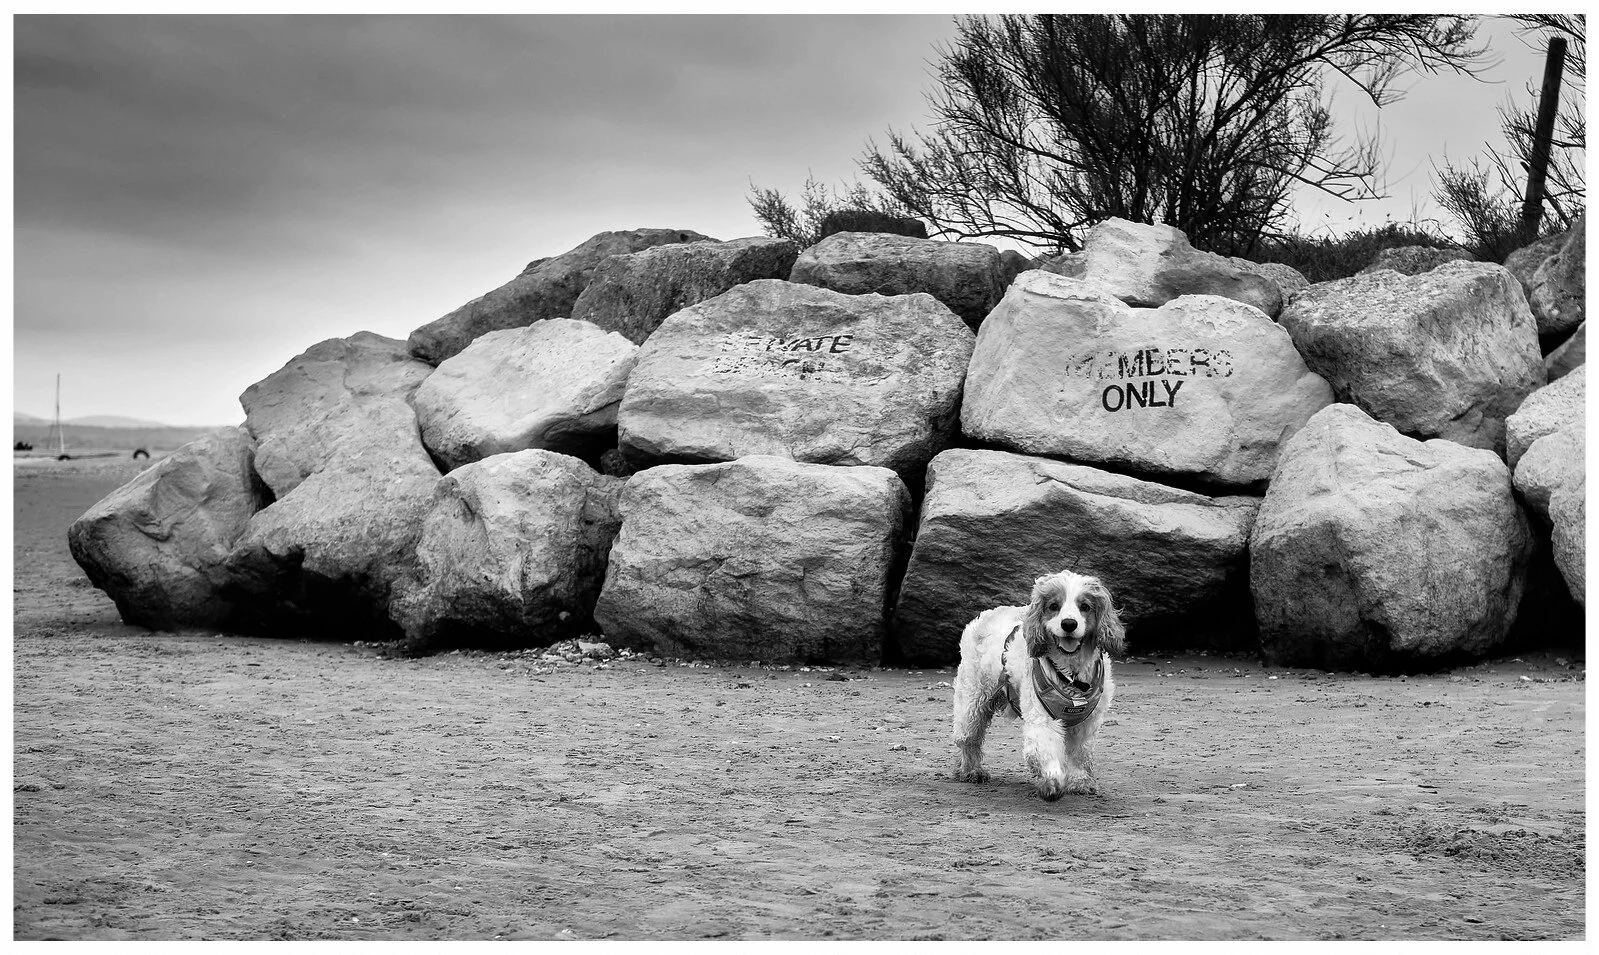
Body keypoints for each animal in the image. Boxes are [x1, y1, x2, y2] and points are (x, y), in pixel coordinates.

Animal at [951, 570, 1124, 800]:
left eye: (1085, 606)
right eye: (1054, 606)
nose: (1069, 623)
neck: (1071, 676)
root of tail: (988, 614)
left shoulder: (1087, 723)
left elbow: (1080, 754)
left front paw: (1080, 782)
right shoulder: (1042, 717)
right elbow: (1044, 749)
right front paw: (1052, 780)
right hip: (973, 701)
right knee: (968, 738)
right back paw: (972, 770)